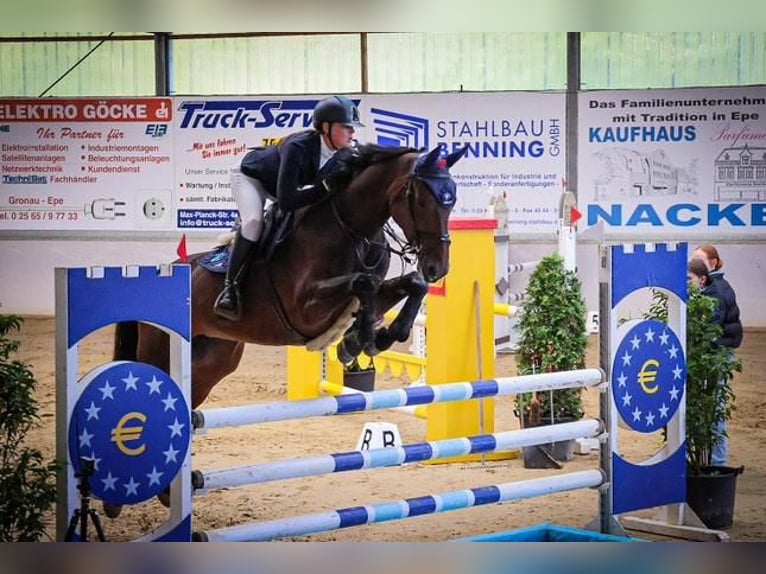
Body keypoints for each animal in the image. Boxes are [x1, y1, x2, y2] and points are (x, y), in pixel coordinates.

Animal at [114, 146, 468, 412]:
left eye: (452, 200)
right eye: (421, 200)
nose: (438, 268)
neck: (352, 228)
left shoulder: (368, 295)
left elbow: (411, 285)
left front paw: (374, 338)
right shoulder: (305, 309)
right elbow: (362, 284)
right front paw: (361, 341)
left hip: (212, 360)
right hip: (160, 352)